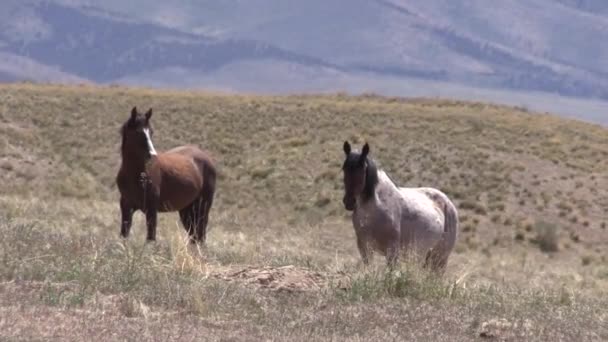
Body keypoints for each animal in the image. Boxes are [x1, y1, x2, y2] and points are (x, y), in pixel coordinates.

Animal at [115, 107, 217, 243]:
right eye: (137, 132)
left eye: (151, 132)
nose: (152, 155)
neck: (136, 175)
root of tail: (207, 158)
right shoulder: (126, 206)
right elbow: (124, 235)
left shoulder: (151, 210)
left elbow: (151, 238)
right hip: (187, 210)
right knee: (194, 236)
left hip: (202, 208)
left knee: (200, 235)